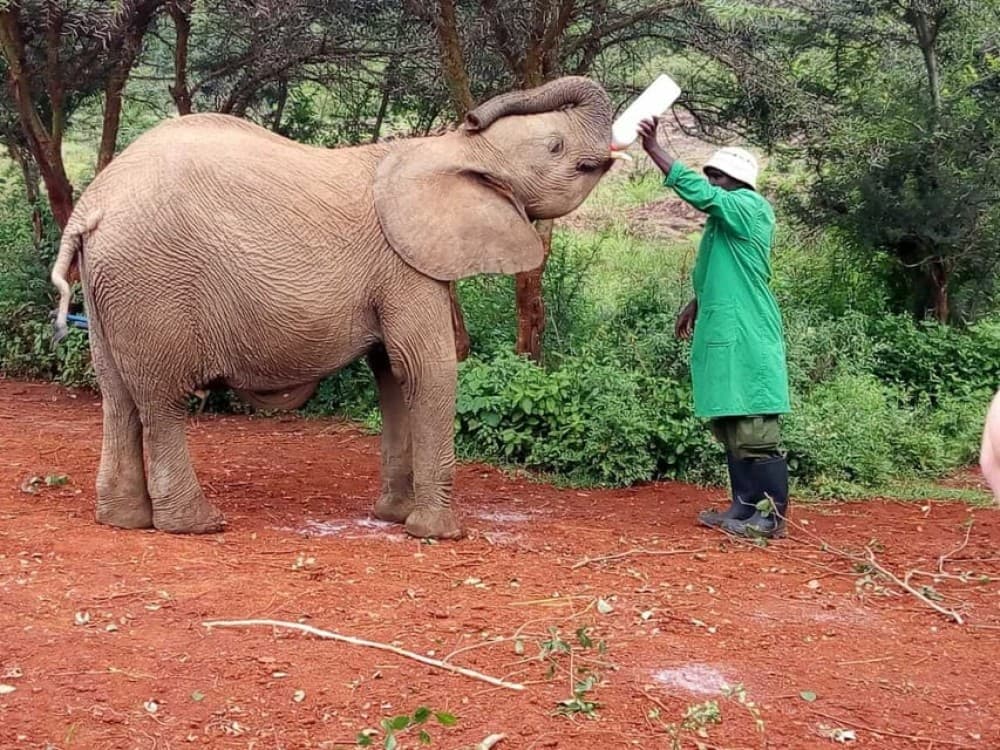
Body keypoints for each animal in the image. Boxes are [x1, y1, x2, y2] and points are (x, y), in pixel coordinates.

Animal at [50, 75, 620, 540]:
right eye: (555, 145)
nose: (474, 114)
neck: (448, 150)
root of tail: (91, 207)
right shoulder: (404, 266)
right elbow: (426, 369)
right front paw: (437, 533)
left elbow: (392, 374)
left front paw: (393, 517)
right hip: (151, 283)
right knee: (162, 401)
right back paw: (197, 525)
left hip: (110, 288)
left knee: (118, 396)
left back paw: (123, 521)